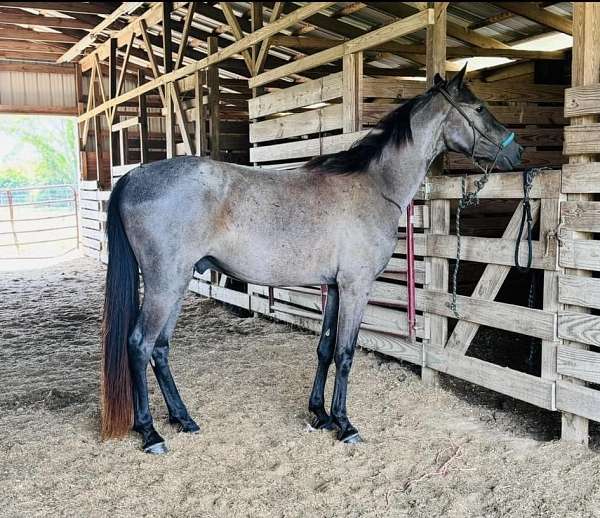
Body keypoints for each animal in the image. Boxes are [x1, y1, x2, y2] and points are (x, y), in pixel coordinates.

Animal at [101, 65, 524, 456]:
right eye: (479, 107)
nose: (516, 151)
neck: (374, 186)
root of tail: (133, 177)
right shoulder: (355, 288)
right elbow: (345, 353)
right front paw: (345, 424)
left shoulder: (334, 287)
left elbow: (324, 349)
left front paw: (320, 414)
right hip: (164, 285)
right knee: (140, 345)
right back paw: (150, 433)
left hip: (176, 284)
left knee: (160, 348)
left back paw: (183, 418)